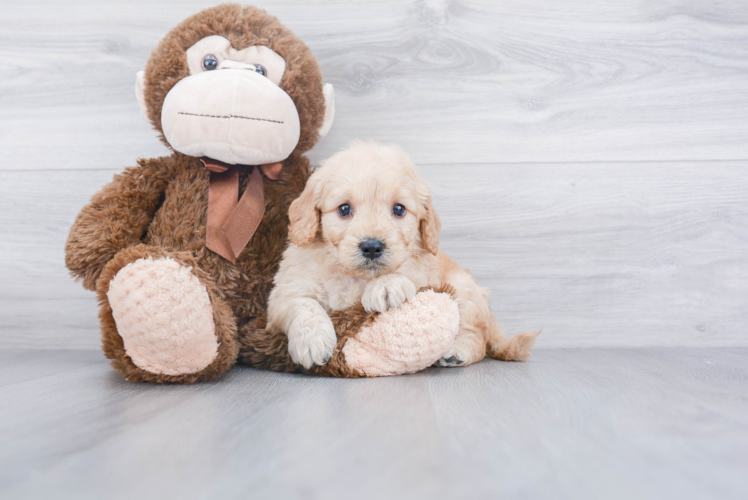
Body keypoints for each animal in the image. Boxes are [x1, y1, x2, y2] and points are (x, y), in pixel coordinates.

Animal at [268, 141, 536, 368]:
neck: (355, 277)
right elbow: (302, 304)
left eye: (399, 209)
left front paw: (386, 285)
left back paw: (457, 352)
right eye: (344, 209)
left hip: (465, 290)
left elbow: (405, 270)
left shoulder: (424, 272)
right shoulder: (283, 294)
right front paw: (312, 341)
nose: (372, 246)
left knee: (478, 335)